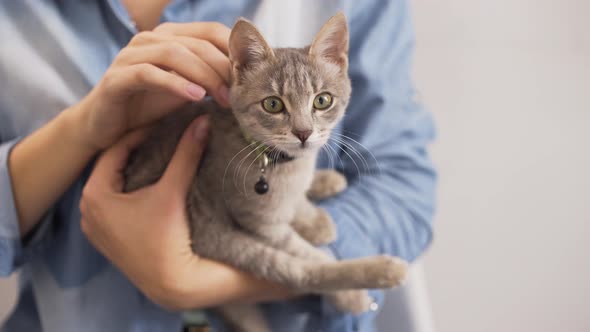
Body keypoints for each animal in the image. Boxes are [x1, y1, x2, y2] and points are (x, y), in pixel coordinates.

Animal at [125, 13, 410, 332]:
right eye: (272, 104)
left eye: (322, 100)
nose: (303, 133)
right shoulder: (262, 224)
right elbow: (311, 256)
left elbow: (299, 200)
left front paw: (313, 214)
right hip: (226, 240)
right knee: (305, 272)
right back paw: (377, 274)